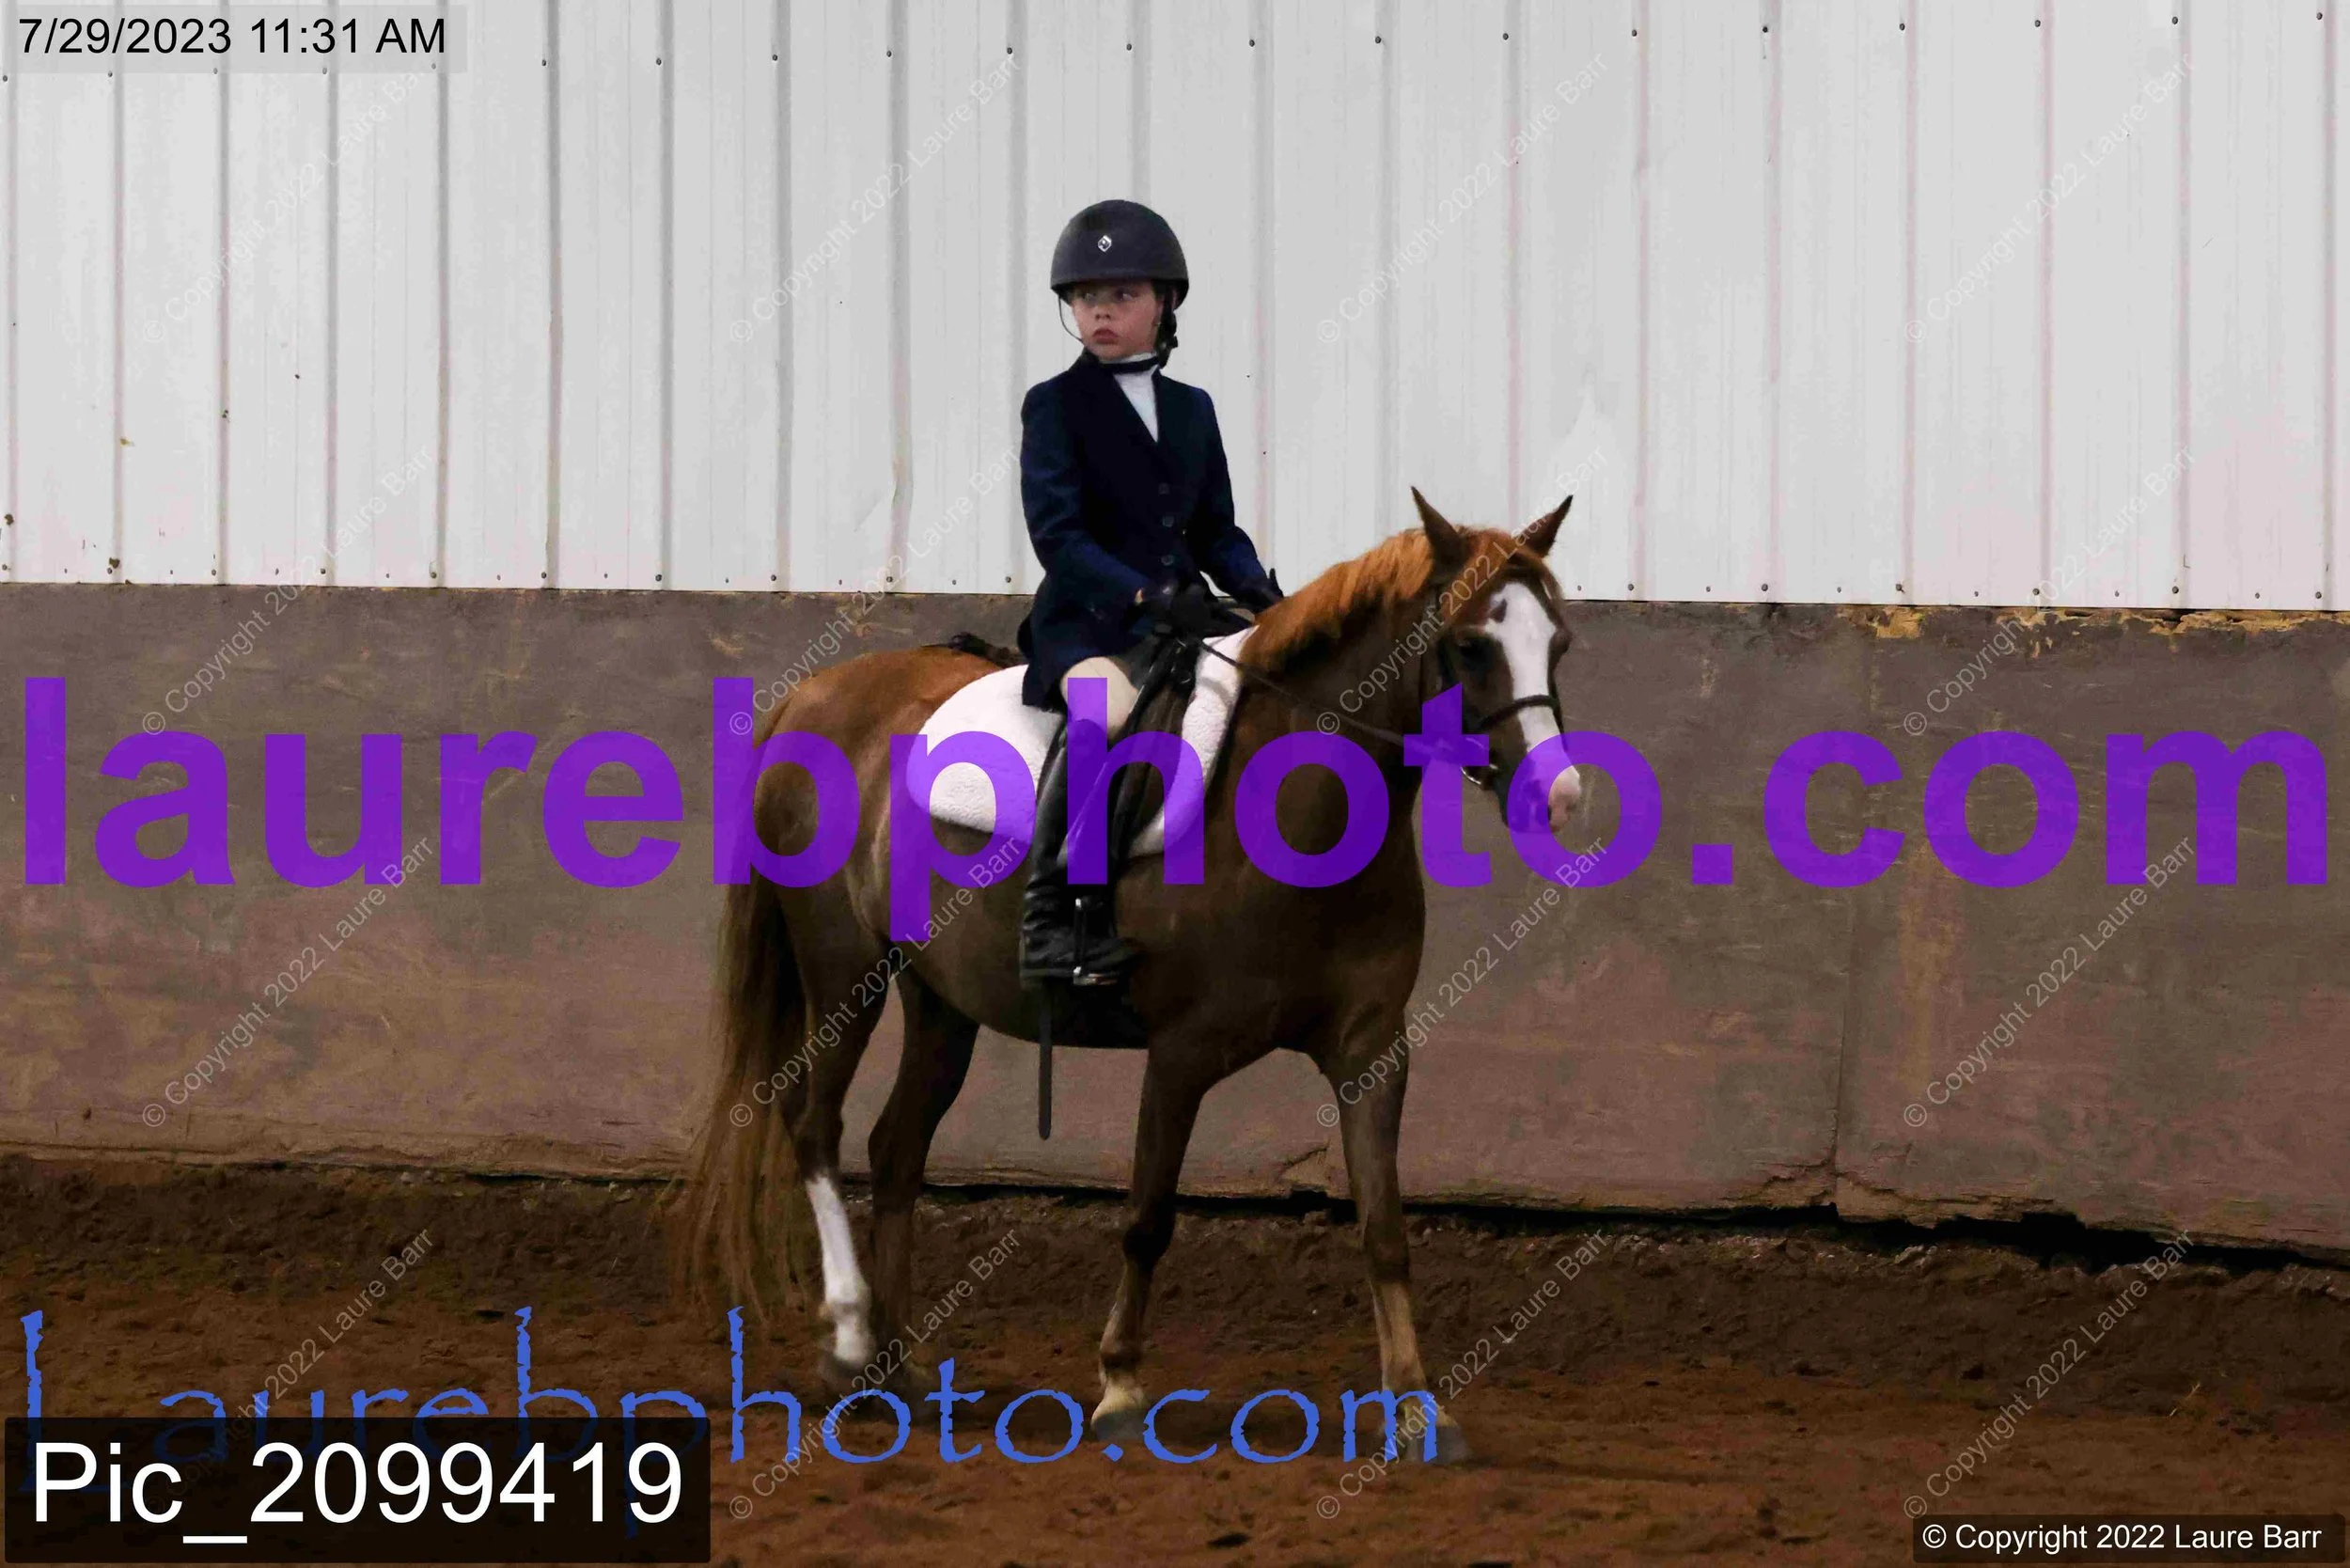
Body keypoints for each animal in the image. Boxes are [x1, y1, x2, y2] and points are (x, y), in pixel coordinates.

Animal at [683, 488, 1582, 1464]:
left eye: (1559, 643)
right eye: (1471, 644)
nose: (1559, 796)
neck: (1300, 809)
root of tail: (814, 694)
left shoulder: (1373, 1052)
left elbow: (1384, 1229)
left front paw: (1419, 1410)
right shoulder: (1182, 1053)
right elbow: (1149, 1216)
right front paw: (1118, 1385)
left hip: (941, 999)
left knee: (896, 1150)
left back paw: (901, 1369)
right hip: (844, 971)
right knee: (815, 1124)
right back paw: (849, 1342)